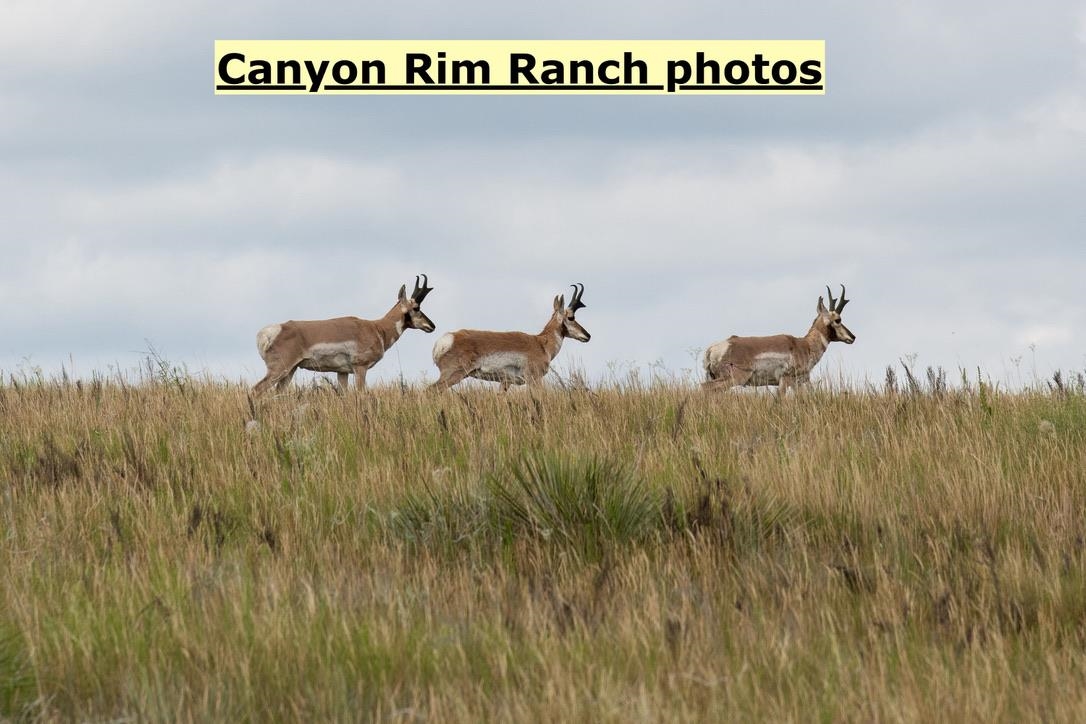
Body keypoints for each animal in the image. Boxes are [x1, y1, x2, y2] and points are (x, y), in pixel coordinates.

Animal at [252, 275, 435, 396]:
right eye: (416, 308)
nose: (432, 326)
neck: (377, 328)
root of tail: (269, 331)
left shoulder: (342, 372)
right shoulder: (360, 368)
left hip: (290, 371)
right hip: (279, 370)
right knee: (256, 390)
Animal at [430, 283, 591, 390]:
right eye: (571, 317)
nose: (588, 335)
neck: (541, 343)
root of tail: (446, 339)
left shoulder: (505, 382)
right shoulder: (534, 379)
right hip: (453, 375)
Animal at [703, 284, 855, 393]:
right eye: (838, 320)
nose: (853, 337)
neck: (804, 345)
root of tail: (713, 349)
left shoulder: (800, 381)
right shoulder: (786, 379)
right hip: (734, 378)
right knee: (705, 388)